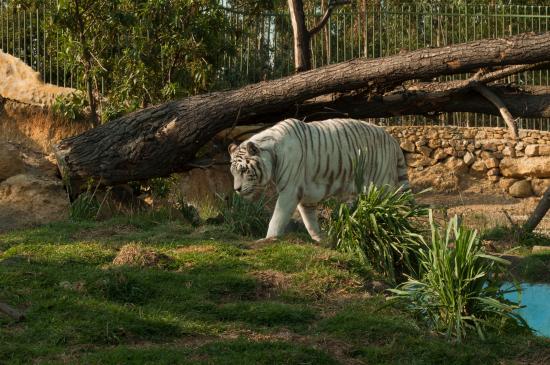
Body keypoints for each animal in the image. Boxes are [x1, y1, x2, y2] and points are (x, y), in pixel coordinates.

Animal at [229, 118, 410, 240]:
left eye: (244, 171)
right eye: (233, 173)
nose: (236, 189)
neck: (272, 154)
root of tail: (392, 139)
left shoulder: (290, 191)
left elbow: (278, 218)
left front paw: (269, 238)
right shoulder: (306, 194)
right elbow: (309, 221)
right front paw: (321, 240)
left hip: (379, 184)